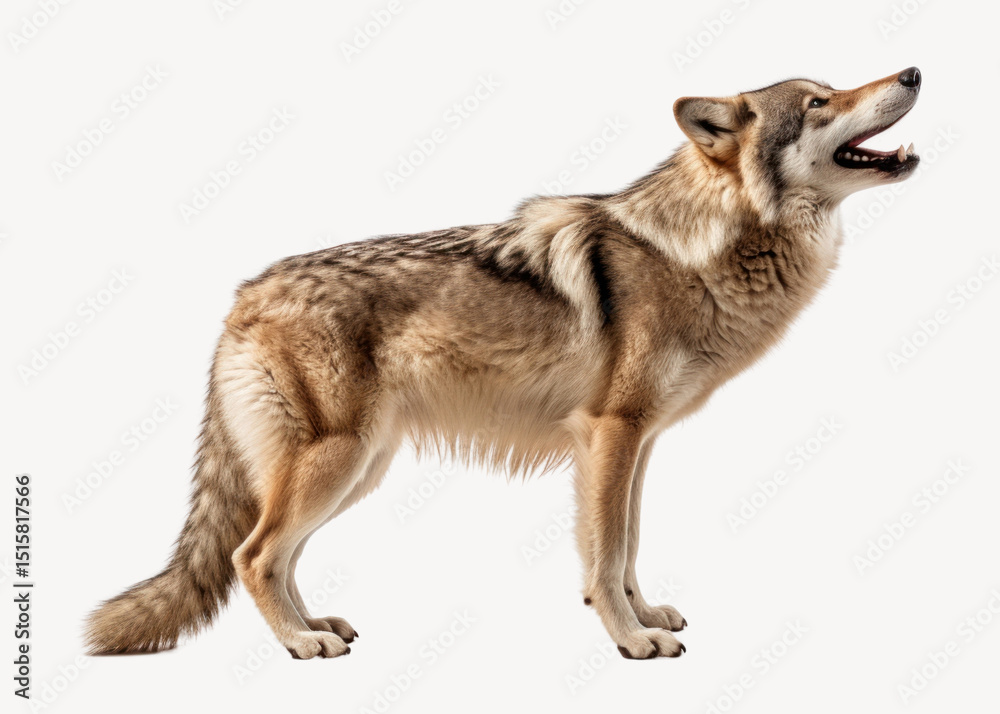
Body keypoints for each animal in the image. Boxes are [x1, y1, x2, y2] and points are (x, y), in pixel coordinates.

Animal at [86, 67, 922, 660]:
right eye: (820, 101)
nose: (914, 71)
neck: (698, 248)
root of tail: (242, 296)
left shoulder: (635, 443)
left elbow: (626, 546)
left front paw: (642, 614)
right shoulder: (609, 434)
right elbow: (606, 553)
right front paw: (631, 641)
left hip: (358, 467)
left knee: (276, 556)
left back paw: (316, 625)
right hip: (337, 459)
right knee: (251, 554)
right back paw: (300, 643)